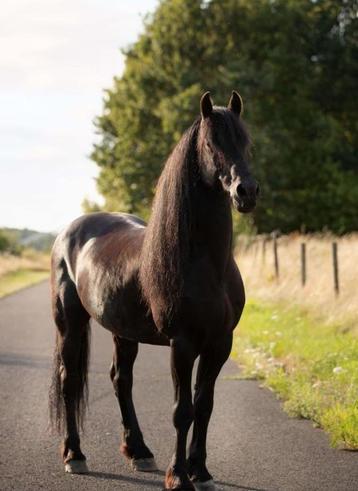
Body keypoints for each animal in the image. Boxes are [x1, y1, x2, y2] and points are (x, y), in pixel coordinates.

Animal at [49, 90, 258, 490]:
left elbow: (204, 406)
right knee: (70, 380)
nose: (247, 192)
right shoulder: (183, 344)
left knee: (121, 380)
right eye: (211, 142)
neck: (206, 264)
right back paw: (74, 455)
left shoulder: (220, 343)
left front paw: (201, 471)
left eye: (246, 141)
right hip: (70, 323)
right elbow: (182, 411)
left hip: (123, 331)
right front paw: (179, 477)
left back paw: (139, 451)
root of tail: (70, 230)